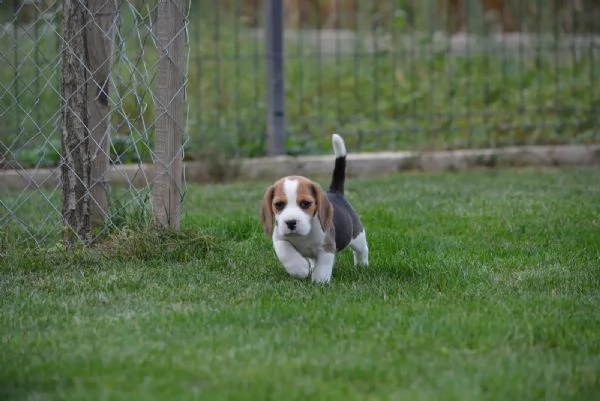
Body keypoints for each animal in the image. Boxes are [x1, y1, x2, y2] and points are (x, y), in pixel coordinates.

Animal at [260, 134, 368, 282]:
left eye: (306, 203)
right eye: (279, 205)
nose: (291, 222)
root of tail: (335, 192)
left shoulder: (327, 246)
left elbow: (323, 265)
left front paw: (320, 281)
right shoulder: (279, 238)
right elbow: (285, 251)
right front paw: (299, 269)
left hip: (357, 236)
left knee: (362, 250)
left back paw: (362, 265)